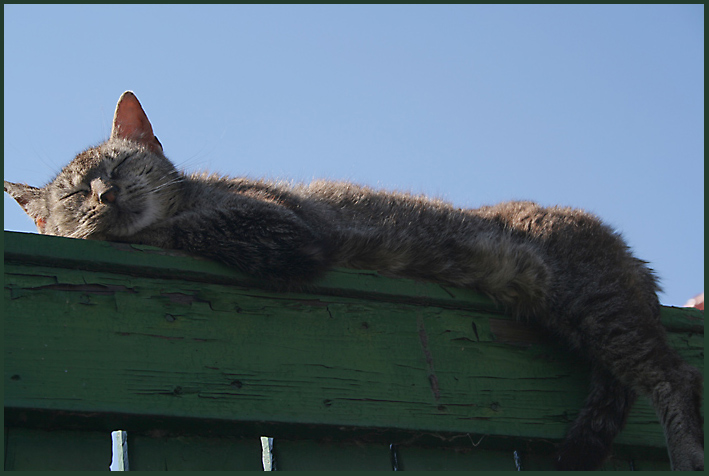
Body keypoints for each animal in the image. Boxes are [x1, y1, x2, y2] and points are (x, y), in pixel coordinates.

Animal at [5, 91, 704, 470]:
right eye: (73, 192)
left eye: (119, 165)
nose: (104, 196)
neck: (199, 191)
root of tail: (624, 249)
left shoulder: (280, 225)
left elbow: (178, 230)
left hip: (598, 303)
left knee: (676, 375)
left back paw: (686, 450)